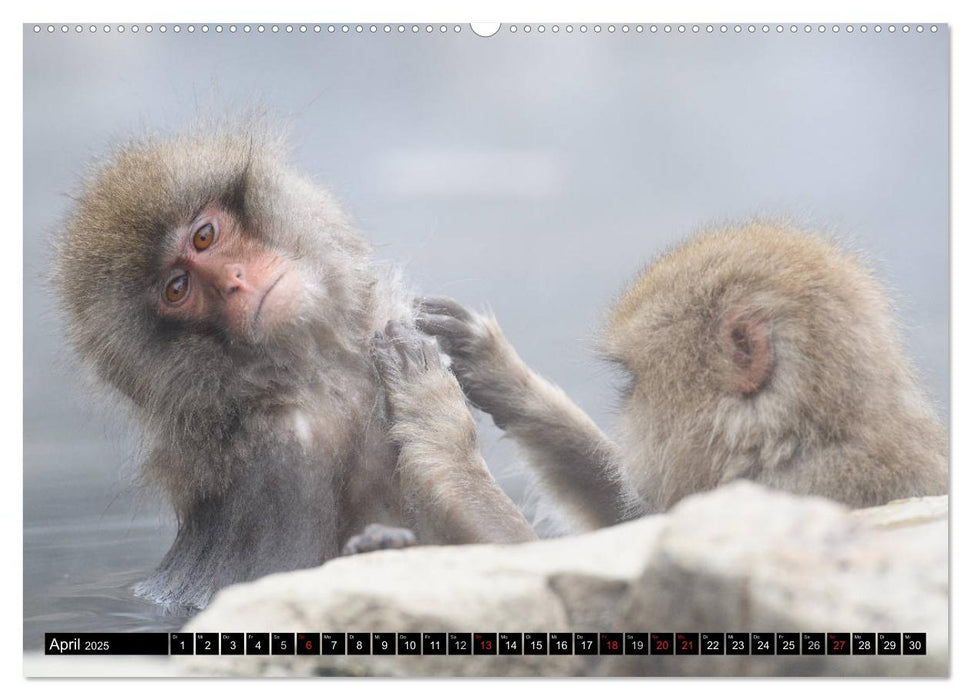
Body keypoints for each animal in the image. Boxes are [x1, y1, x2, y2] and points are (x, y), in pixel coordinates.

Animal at [52, 126, 536, 608]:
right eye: (177, 289)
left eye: (204, 237)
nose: (234, 281)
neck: (316, 377)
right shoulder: (284, 467)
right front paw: (435, 414)